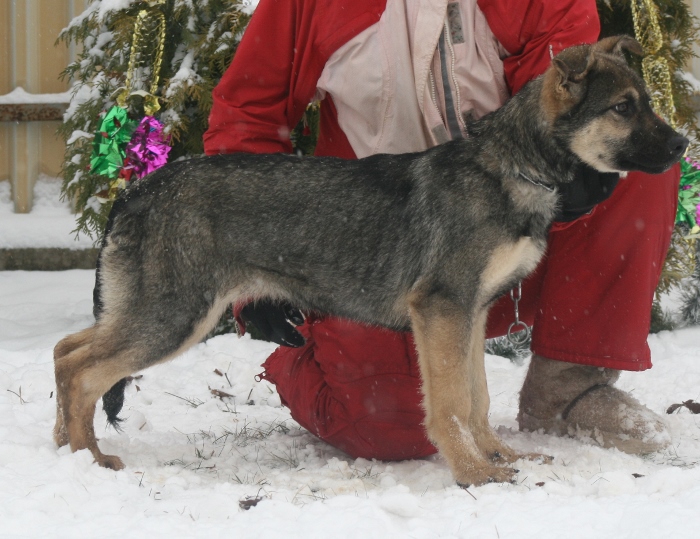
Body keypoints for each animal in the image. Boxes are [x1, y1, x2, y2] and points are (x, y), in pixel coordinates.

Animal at [52, 35, 688, 488]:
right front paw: (474, 474)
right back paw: (89, 460)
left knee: (66, 351)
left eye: (648, 104)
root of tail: (138, 191)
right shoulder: (442, 310)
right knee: (82, 369)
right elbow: (452, 403)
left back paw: (66, 447)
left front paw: (501, 456)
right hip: (175, 316)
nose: (684, 144)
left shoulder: (471, 314)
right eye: (624, 108)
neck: (512, 168)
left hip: (151, 312)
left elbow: (478, 400)